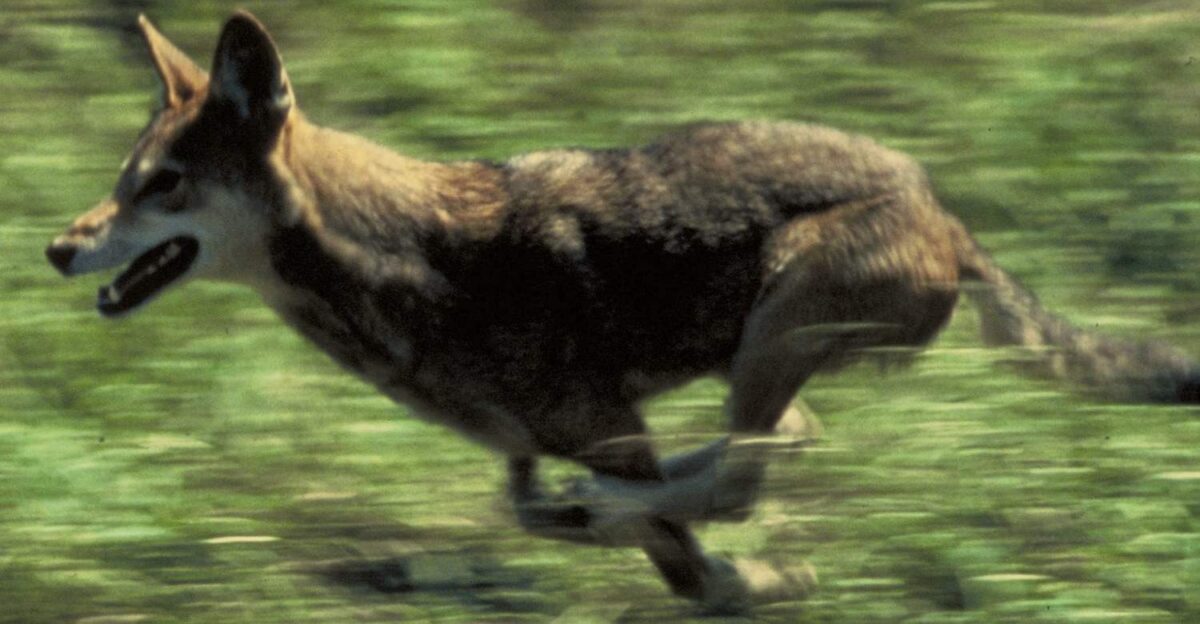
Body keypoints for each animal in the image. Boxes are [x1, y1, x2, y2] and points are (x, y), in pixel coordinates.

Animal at [46, 11, 1200, 611]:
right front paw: (695, 552)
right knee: (772, 444)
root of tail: (946, 212)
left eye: (163, 188)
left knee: (741, 468)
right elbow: (549, 509)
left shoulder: (603, 425)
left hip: (779, 313)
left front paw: (744, 570)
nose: (58, 247)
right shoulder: (545, 438)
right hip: (760, 354)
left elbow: (685, 558)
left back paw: (633, 507)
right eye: (124, 180)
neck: (403, 262)